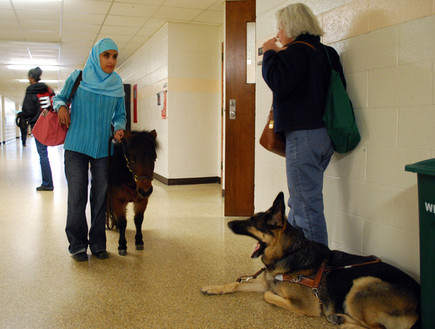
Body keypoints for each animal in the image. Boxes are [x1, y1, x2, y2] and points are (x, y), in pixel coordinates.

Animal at [203, 192, 420, 328]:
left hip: (362, 284)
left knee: (377, 328)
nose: (229, 223)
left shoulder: (305, 305)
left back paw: (343, 322)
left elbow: (269, 296)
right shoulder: (265, 283)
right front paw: (213, 288)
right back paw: (340, 318)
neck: (289, 254)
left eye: (251, 222)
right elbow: (235, 284)